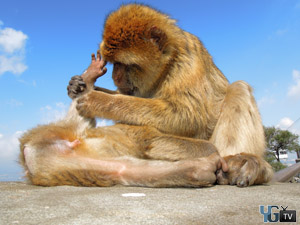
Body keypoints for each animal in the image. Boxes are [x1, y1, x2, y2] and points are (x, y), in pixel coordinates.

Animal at [69, 3, 272, 186]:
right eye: (114, 65)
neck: (167, 64)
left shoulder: (187, 63)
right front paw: (79, 86)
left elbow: (188, 117)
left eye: (124, 65)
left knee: (239, 88)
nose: (115, 76)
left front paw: (100, 100)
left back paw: (243, 165)